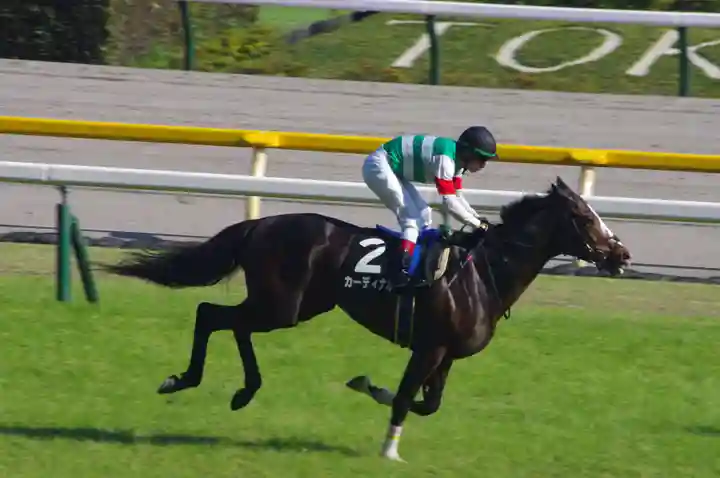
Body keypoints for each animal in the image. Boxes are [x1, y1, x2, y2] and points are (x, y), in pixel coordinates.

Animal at [102, 176, 631, 462]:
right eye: (586, 219)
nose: (621, 254)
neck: (482, 273)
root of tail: (259, 224)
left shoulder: (446, 356)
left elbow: (427, 403)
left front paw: (367, 385)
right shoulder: (429, 348)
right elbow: (405, 399)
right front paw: (389, 450)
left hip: (296, 306)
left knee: (230, 323)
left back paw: (241, 390)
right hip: (281, 305)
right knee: (212, 315)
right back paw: (187, 380)